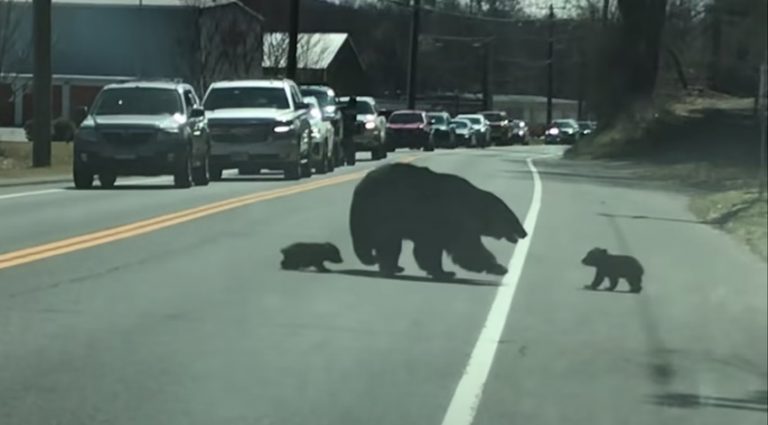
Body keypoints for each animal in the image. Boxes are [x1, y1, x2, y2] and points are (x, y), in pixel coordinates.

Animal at [349, 162, 528, 279]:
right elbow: (466, 248)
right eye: (512, 218)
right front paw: (499, 268)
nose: (524, 233)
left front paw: (442, 271)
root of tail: (358, 189)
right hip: (382, 214)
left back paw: (393, 266)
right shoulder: (452, 217)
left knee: (389, 246)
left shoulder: (438, 226)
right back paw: (388, 267)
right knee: (387, 244)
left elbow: (431, 249)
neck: (474, 205)